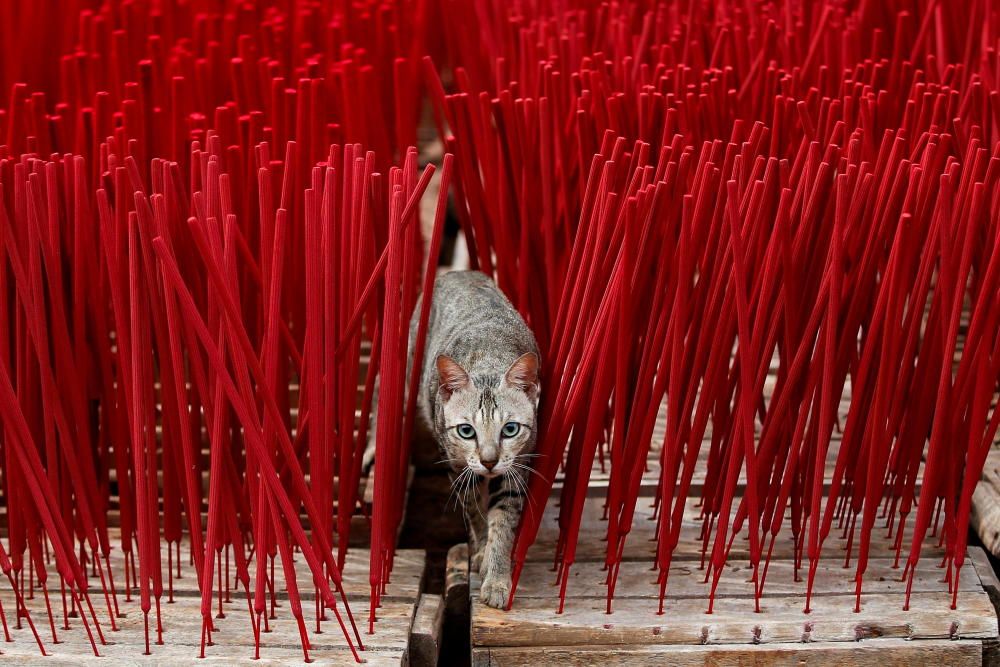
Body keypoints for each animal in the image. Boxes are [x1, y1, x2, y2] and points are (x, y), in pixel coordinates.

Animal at [366, 272, 540, 612]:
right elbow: (474, 512)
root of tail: (458, 272)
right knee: (382, 393)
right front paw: (481, 551)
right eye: (466, 431)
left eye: (510, 429)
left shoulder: (517, 468)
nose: (489, 460)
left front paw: (496, 576)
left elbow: (503, 522)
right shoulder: (458, 466)